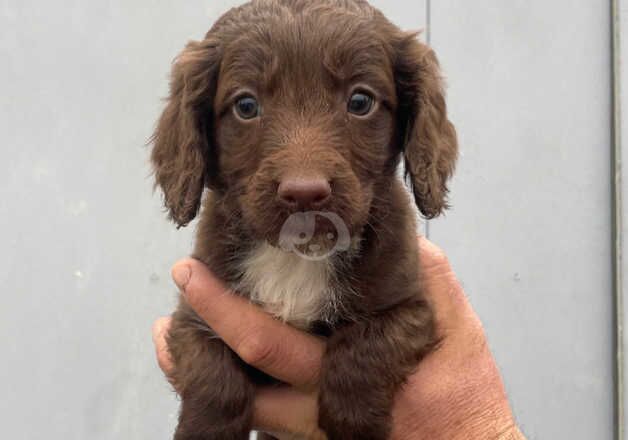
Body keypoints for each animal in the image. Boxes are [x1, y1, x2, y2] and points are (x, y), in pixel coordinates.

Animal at [151, 1, 456, 438]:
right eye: (246, 106)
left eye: (360, 101)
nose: (304, 193)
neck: (298, 255)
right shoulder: (196, 307)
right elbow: (213, 374)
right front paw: (205, 428)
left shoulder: (410, 305)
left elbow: (366, 347)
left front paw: (353, 423)